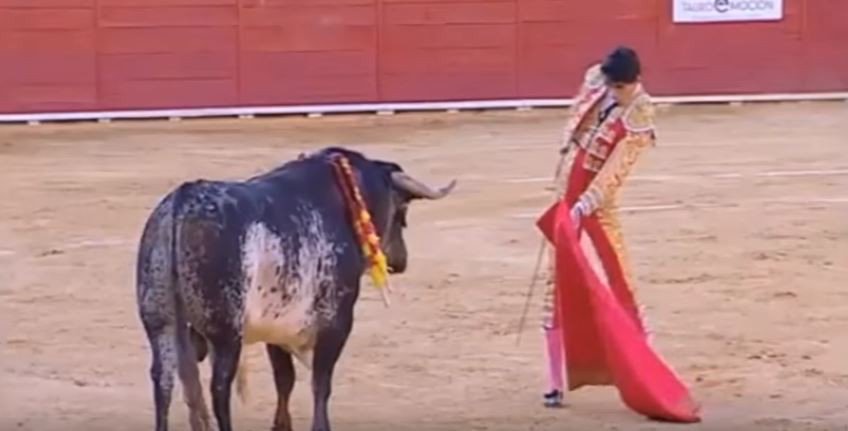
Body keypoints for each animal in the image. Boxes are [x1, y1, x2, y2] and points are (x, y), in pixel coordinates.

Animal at [135, 147, 457, 431]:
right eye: (402, 209)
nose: (400, 262)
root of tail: (181, 203)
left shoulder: (276, 325)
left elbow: (284, 379)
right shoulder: (335, 322)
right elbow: (320, 383)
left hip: (159, 321)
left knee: (164, 379)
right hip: (226, 332)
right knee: (219, 387)